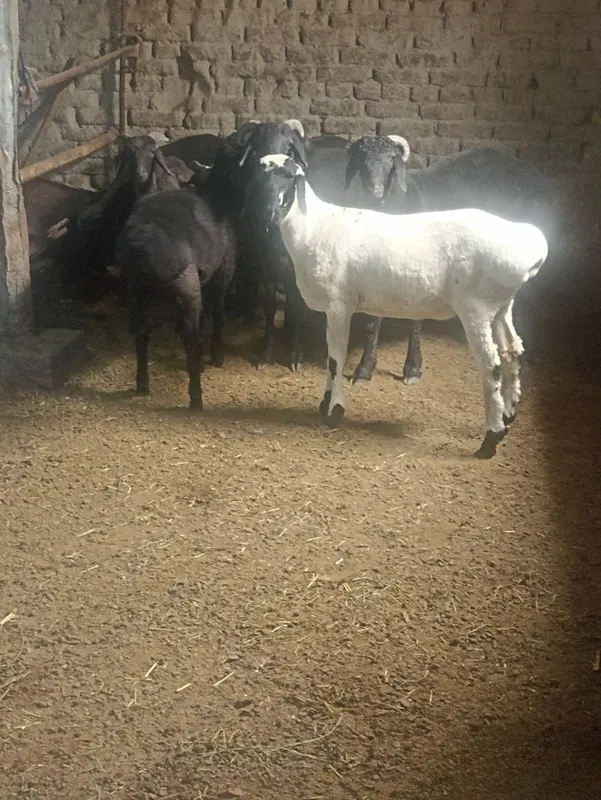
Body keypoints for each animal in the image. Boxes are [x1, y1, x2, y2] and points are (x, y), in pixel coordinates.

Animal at [113, 138, 238, 410]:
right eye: (128, 155)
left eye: (151, 153)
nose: (139, 173)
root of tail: (146, 250)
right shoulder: (222, 267)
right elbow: (216, 311)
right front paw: (215, 356)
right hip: (189, 285)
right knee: (194, 335)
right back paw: (196, 396)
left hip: (138, 289)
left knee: (142, 332)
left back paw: (143, 382)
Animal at [252, 154, 548, 459]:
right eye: (261, 176)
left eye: (290, 177)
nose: (268, 213)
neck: (312, 227)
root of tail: (531, 247)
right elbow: (330, 357)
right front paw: (325, 403)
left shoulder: (339, 304)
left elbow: (335, 359)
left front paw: (334, 412)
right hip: (500, 306)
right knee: (512, 352)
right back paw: (509, 414)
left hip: (475, 307)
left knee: (492, 367)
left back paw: (491, 439)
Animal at [339, 136, 556, 383]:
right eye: (359, 158)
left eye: (391, 158)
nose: (373, 191)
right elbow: (373, 321)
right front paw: (364, 368)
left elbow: (415, 321)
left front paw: (412, 368)